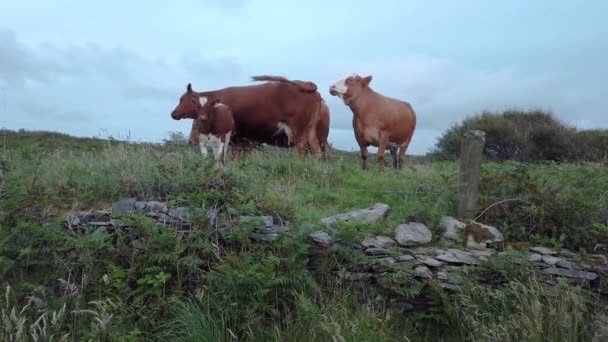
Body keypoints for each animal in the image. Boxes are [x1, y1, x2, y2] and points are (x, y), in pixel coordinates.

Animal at [171, 75, 324, 159]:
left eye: (182, 99)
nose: (173, 113)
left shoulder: (232, 136)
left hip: (298, 128)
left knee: (301, 146)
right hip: (310, 129)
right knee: (315, 147)